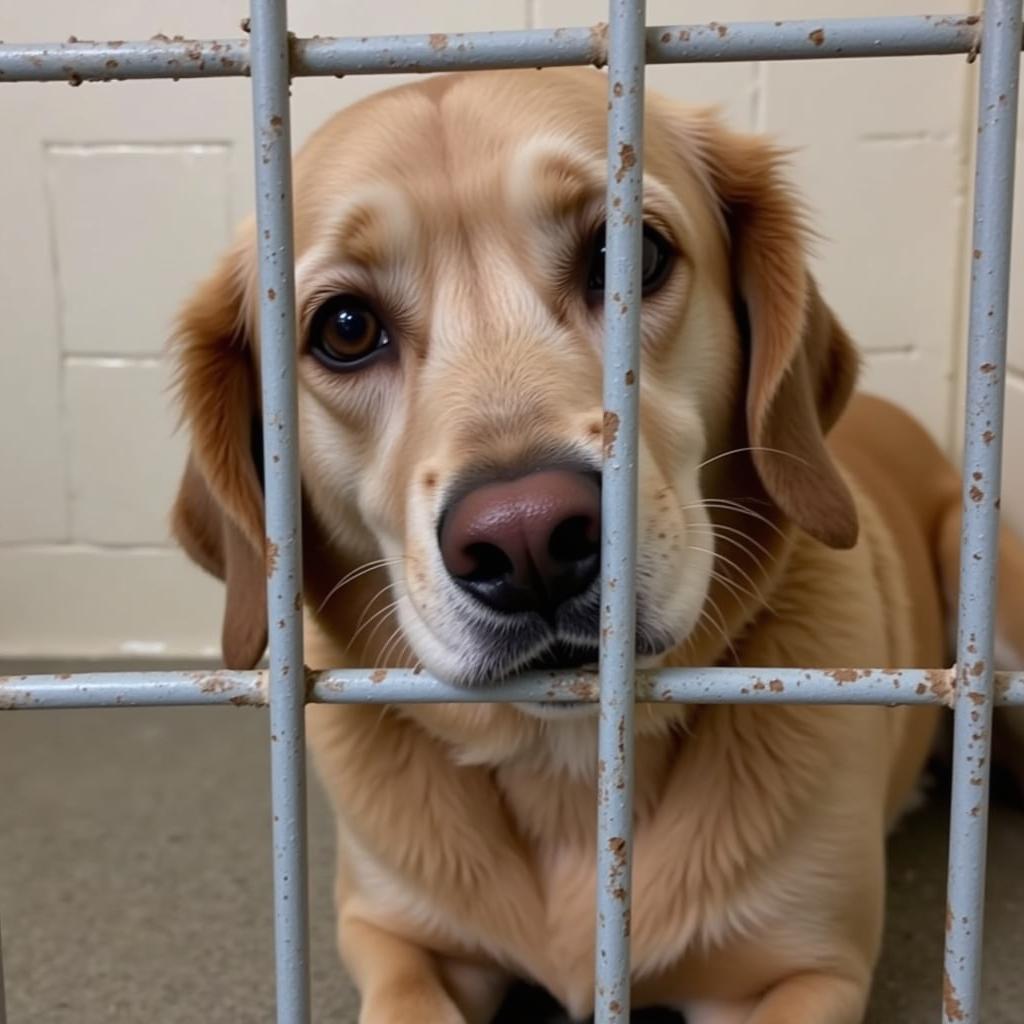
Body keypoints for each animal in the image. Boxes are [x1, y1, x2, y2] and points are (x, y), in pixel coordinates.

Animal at [169, 68, 1024, 1019]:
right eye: (346, 328)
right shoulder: (395, 938)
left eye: (628, 257)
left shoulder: (806, 973)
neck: (573, 774)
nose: (527, 539)